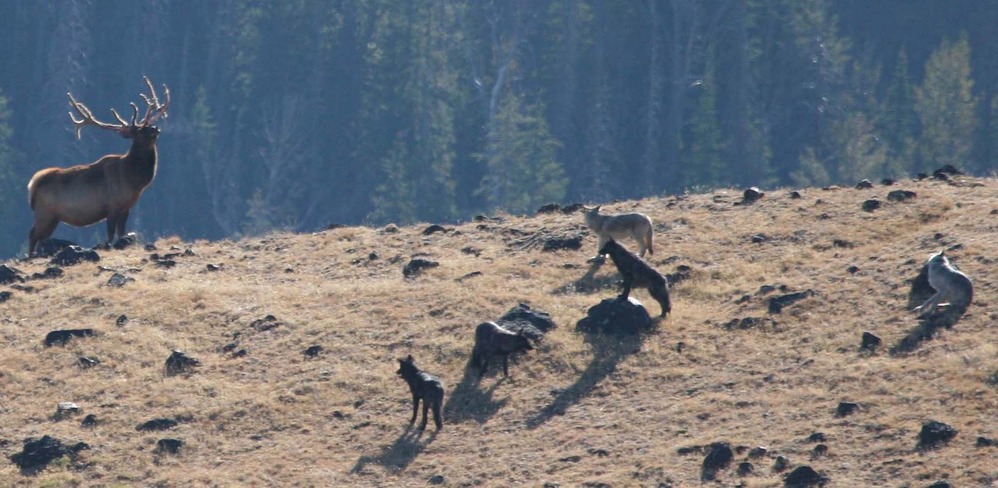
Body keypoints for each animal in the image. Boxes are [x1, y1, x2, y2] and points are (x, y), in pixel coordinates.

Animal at [27, 77, 170, 257]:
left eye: (149, 125)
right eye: (139, 131)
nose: (155, 128)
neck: (133, 179)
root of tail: (33, 185)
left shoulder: (126, 207)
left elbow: (122, 233)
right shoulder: (112, 206)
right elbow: (110, 235)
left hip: (53, 217)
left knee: (40, 237)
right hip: (44, 212)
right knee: (32, 234)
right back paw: (30, 256)